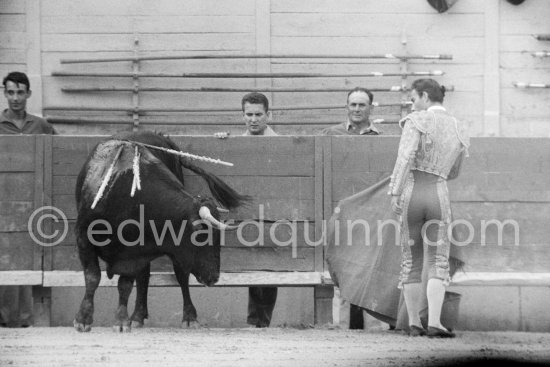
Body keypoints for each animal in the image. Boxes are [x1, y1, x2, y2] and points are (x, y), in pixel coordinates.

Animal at [72, 132, 249, 334]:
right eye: (202, 234)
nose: (214, 277)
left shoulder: (133, 253)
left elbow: (125, 284)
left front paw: (122, 321)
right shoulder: (83, 238)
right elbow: (93, 277)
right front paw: (83, 320)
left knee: (177, 276)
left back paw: (185, 317)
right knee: (144, 277)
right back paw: (138, 317)